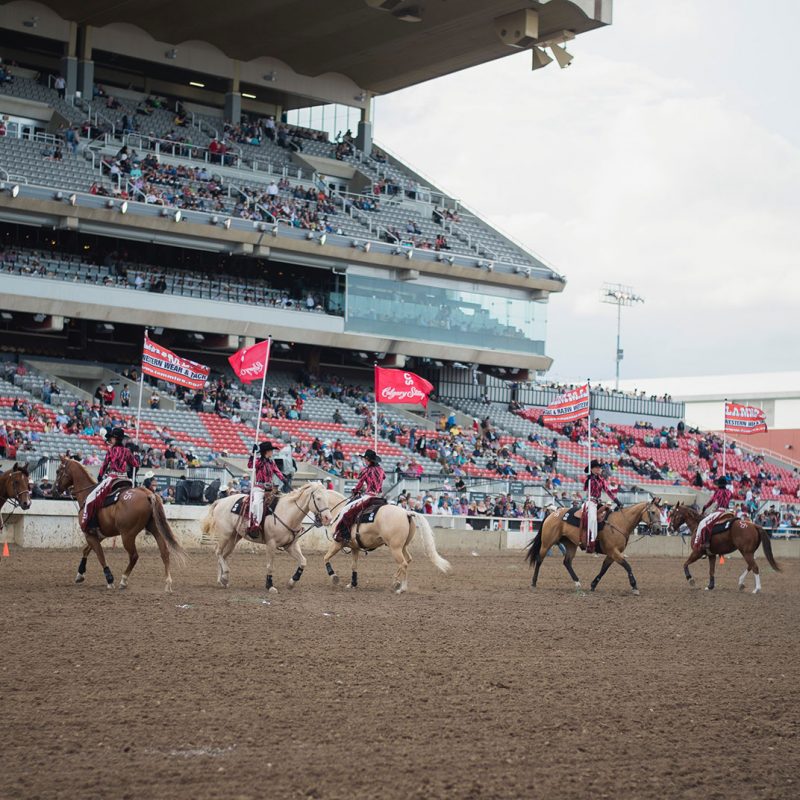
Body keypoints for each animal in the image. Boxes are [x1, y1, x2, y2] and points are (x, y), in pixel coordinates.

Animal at [56, 454, 188, 592]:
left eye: (58, 471)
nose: (56, 489)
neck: (86, 494)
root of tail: (147, 494)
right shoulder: (99, 535)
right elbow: (86, 550)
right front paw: (80, 574)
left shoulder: (89, 534)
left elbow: (100, 555)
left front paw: (109, 580)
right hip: (155, 529)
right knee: (164, 552)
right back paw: (167, 583)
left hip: (127, 535)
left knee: (134, 556)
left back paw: (123, 580)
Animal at [205, 478, 336, 592]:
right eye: (318, 498)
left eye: (327, 498)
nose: (328, 518)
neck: (287, 513)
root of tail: (221, 501)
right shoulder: (271, 544)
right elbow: (270, 566)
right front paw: (270, 586)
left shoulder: (291, 546)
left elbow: (303, 561)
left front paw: (291, 582)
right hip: (225, 534)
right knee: (218, 551)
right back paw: (224, 576)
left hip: (234, 538)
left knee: (223, 555)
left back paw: (222, 581)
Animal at [322, 488, 454, 592]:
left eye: (318, 498)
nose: (325, 518)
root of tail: (406, 512)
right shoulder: (355, 548)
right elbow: (354, 566)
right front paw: (353, 584)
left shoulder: (337, 544)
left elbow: (326, 558)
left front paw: (334, 577)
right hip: (402, 547)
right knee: (408, 560)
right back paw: (396, 582)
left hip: (395, 548)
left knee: (404, 563)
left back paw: (402, 588)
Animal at [524, 500, 664, 592]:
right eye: (652, 512)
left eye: (660, 512)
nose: (658, 529)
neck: (619, 523)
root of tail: (552, 514)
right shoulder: (614, 552)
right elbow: (627, 566)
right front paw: (634, 586)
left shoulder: (612, 554)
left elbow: (604, 569)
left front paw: (593, 585)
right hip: (547, 543)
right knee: (539, 559)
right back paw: (533, 582)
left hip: (571, 545)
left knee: (567, 562)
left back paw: (577, 582)